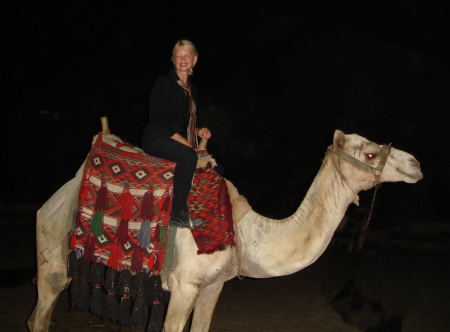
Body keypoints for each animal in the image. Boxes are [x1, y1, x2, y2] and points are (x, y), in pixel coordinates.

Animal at [27, 130, 422, 332]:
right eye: (369, 154)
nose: (415, 163)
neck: (245, 233)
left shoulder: (213, 286)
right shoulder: (185, 285)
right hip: (53, 253)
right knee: (42, 307)